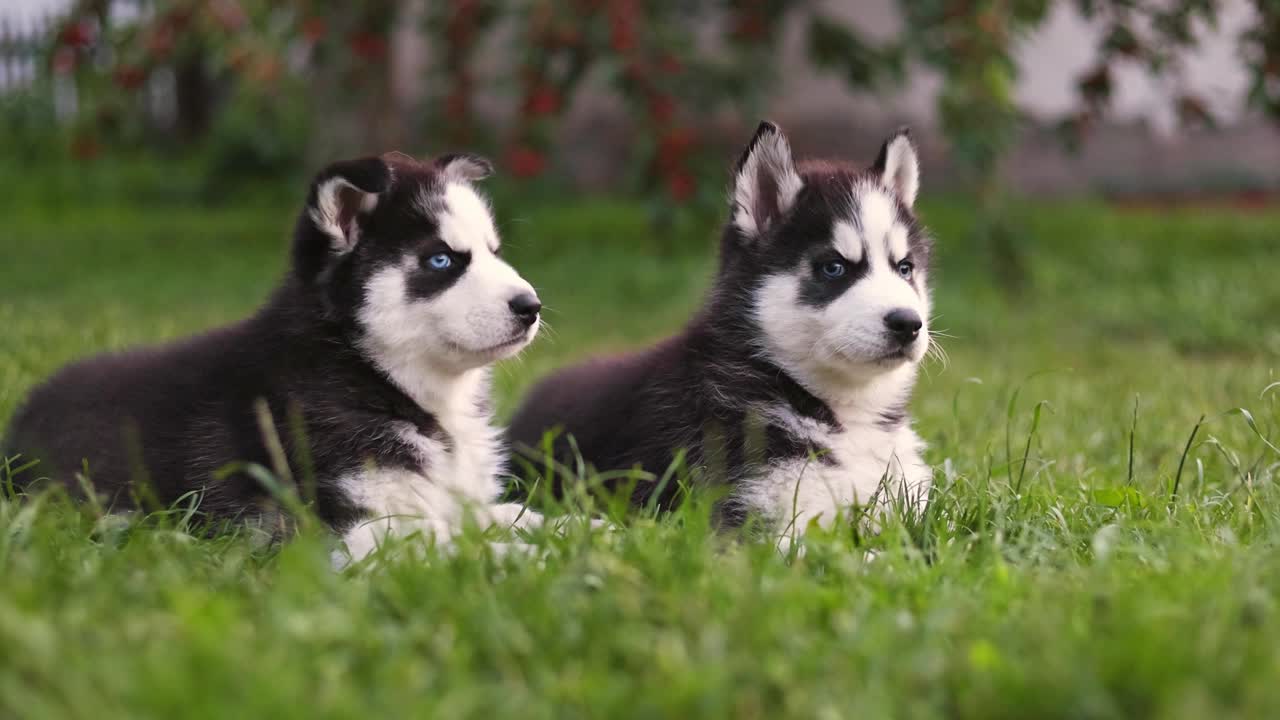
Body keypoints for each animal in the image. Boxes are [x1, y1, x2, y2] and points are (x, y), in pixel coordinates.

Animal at [1, 149, 540, 556]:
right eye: (441, 260)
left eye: (494, 252)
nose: (531, 306)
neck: (370, 371)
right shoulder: (352, 529)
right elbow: (465, 547)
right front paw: (533, 561)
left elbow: (507, 516)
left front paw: (557, 527)